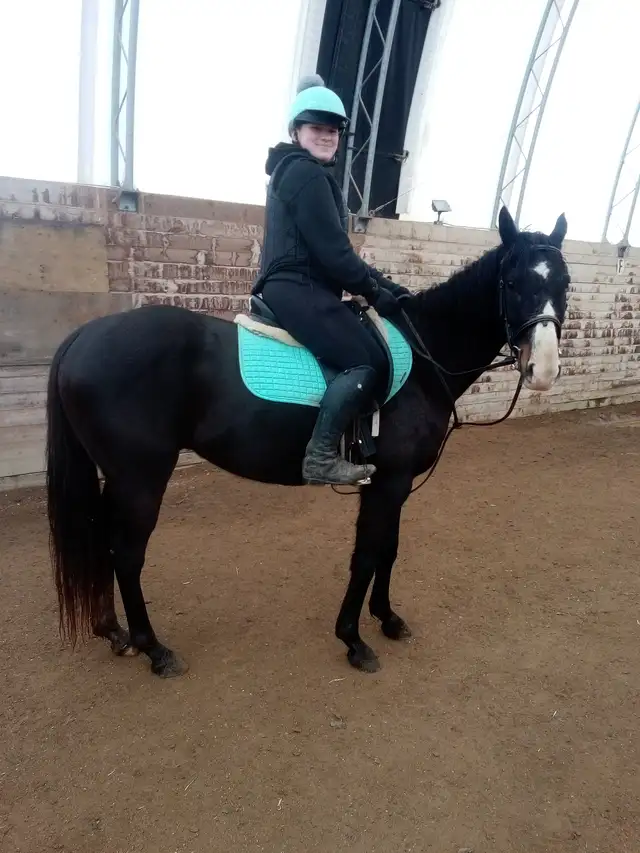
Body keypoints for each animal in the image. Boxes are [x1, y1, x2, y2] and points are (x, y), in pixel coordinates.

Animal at [46, 206, 570, 677]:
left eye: (564, 284)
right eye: (512, 282)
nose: (542, 369)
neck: (423, 360)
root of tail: (82, 336)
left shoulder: (392, 485)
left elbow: (389, 548)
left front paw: (388, 619)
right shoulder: (389, 482)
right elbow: (367, 555)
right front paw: (354, 640)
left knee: (101, 541)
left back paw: (113, 632)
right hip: (141, 478)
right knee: (126, 553)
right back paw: (153, 648)